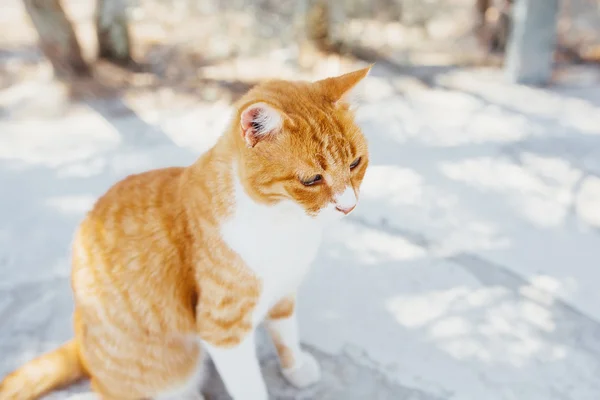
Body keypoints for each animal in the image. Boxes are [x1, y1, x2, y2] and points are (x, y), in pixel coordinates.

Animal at [0, 64, 372, 398]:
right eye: (311, 180)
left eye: (355, 163)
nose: (349, 206)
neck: (287, 225)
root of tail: (81, 345)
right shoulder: (223, 329)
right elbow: (249, 386)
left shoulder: (284, 292)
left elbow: (286, 334)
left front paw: (295, 368)